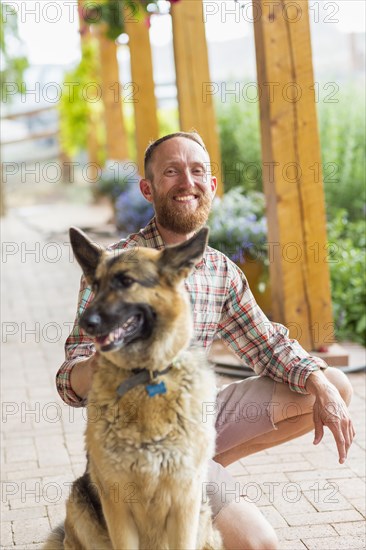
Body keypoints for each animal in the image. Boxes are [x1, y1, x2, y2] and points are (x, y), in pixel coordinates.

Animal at [43, 227, 223, 550]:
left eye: (126, 281)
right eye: (96, 285)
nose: (85, 323)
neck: (145, 377)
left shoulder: (184, 503)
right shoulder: (117, 507)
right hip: (80, 505)